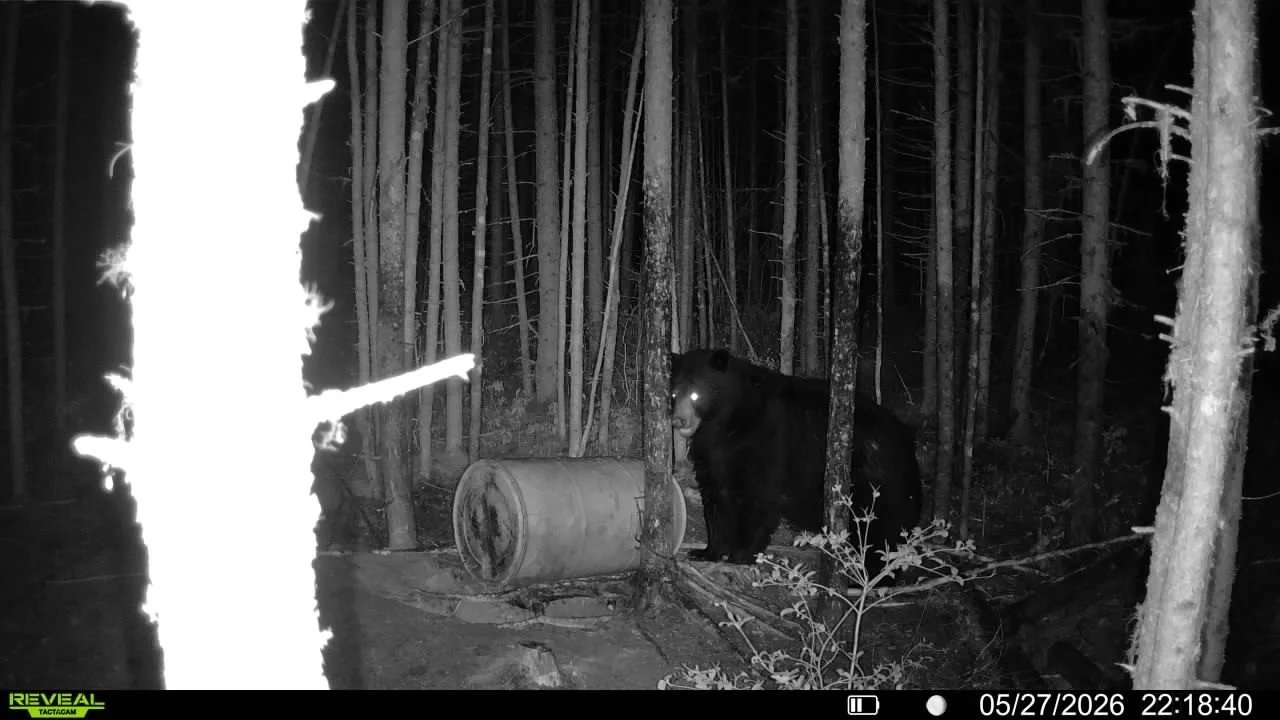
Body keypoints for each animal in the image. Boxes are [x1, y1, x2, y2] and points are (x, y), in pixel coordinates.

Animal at [670, 348, 923, 576]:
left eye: (695, 395)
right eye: (673, 395)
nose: (678, 420)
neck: (730, 423)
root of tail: (907, 441)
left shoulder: (769, 441)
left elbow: (759, 498)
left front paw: (740, 556)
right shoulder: (713, 454)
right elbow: (715, 498)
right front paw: (707, 551)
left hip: (876, 484)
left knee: (880, 532)